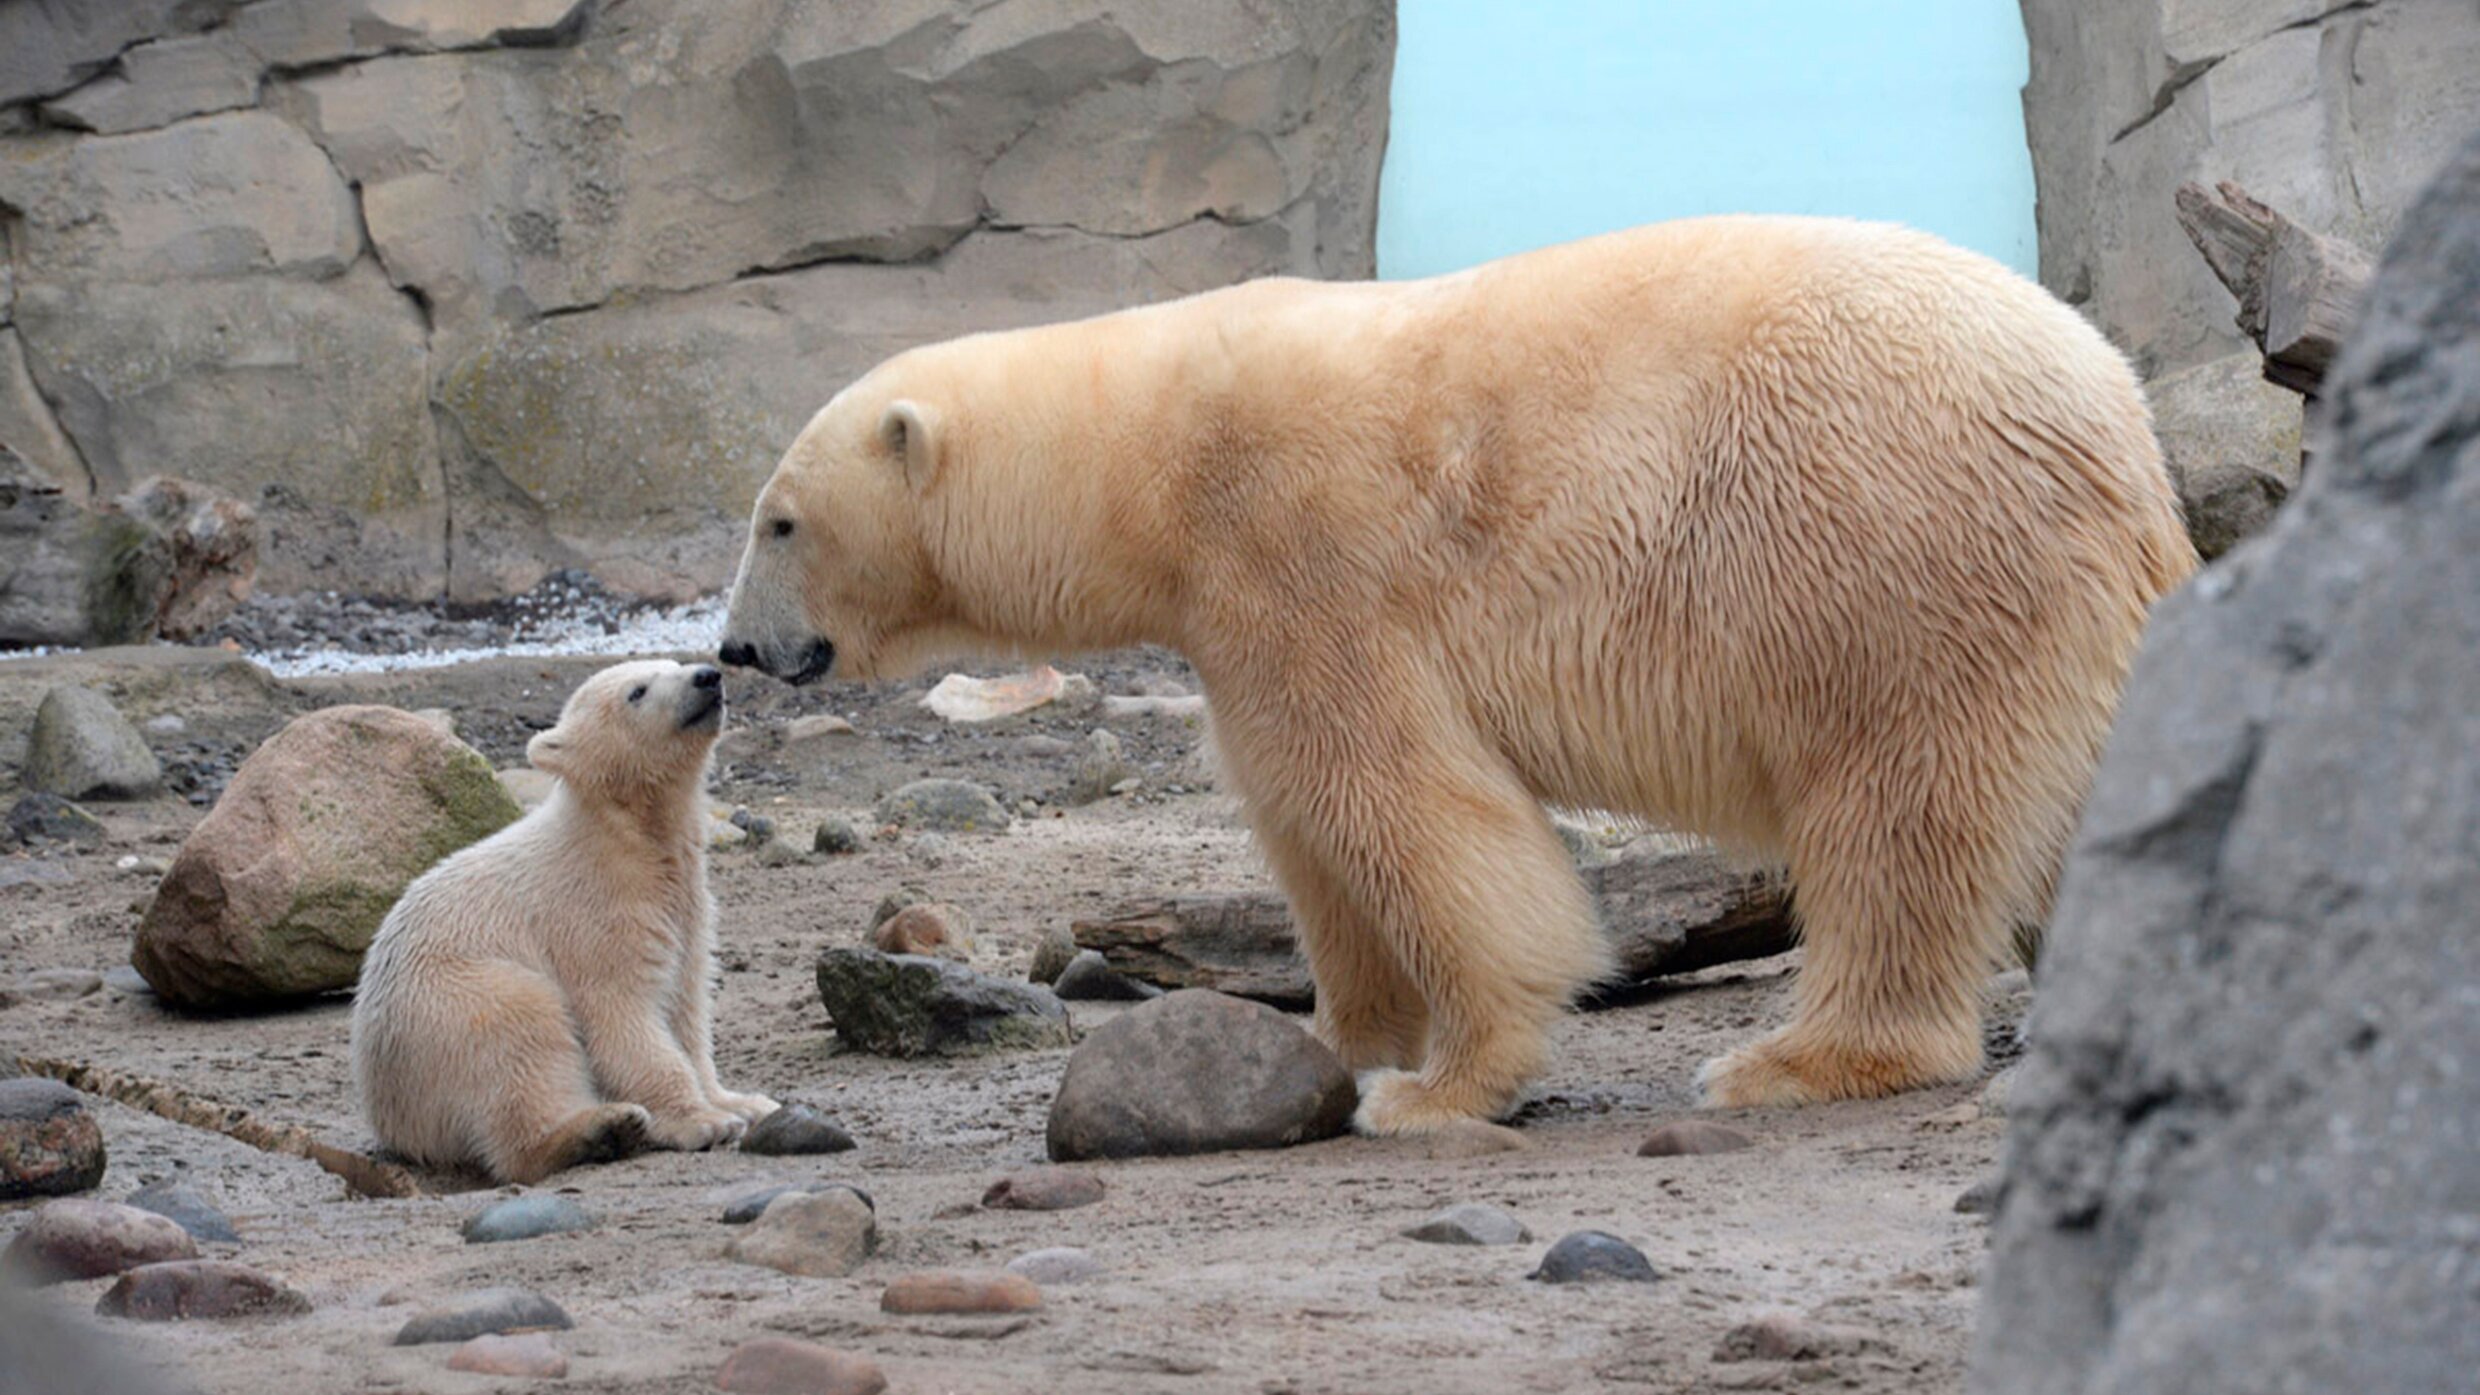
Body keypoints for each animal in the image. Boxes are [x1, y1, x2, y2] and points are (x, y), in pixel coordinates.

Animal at [719, 217, 2192, 1131]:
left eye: (777, 521)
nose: (734, 647)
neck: (1149, 454)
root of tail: (2119, 422)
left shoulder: (1304, 550)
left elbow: (1406, 805)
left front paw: (1439, 1086)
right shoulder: (1230, 615)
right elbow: (1303, 825)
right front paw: (1341, 1036)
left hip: (1886, 550)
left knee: (1896, 806)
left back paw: (1798, 1057)